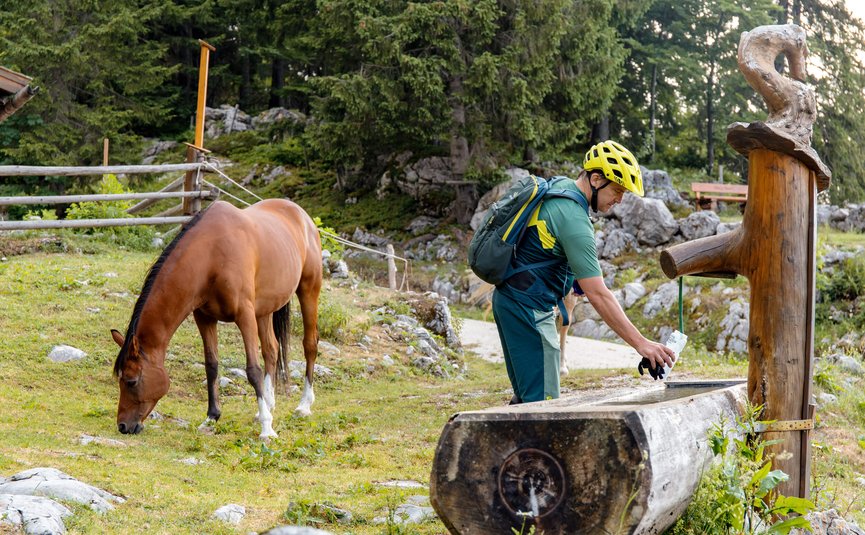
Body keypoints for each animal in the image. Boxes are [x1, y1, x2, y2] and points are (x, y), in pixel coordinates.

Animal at [109, 200, 322, 440]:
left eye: (131, 381)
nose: (123, 426)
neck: (211, 257)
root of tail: (301, 214)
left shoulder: (245, 316)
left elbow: (253, 370)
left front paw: (267, 429)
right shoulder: (205, 318)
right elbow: (211, 365)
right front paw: (211, 417)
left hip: (308, 290)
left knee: (309, 345)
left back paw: (303, 406)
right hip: (264, 310)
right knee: (271, 350)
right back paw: (267, 406)